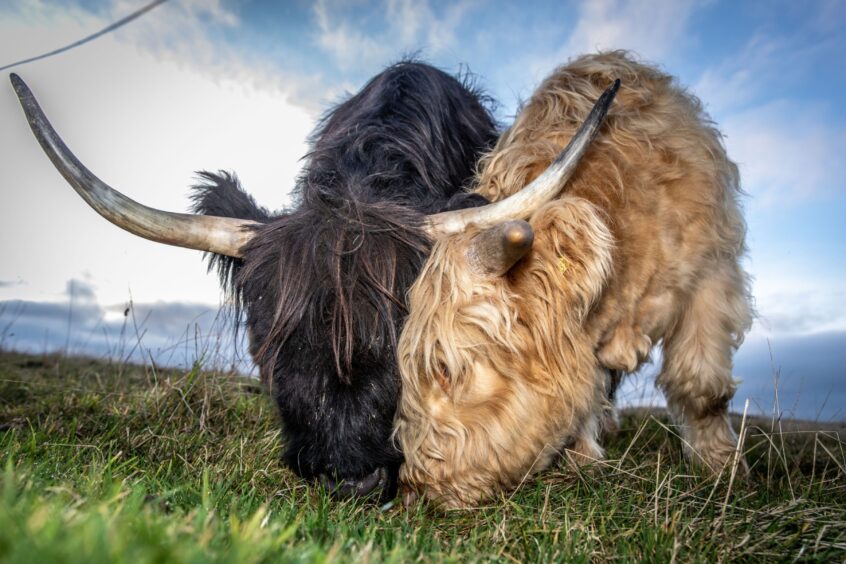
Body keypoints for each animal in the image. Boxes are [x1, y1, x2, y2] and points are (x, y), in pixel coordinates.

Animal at [398, 51, 756, 506]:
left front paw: (722, 470)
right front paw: (583, 463)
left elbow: (701, 388)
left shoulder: (712, 274)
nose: (414, 488)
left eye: (445, 369)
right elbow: (587, 389)